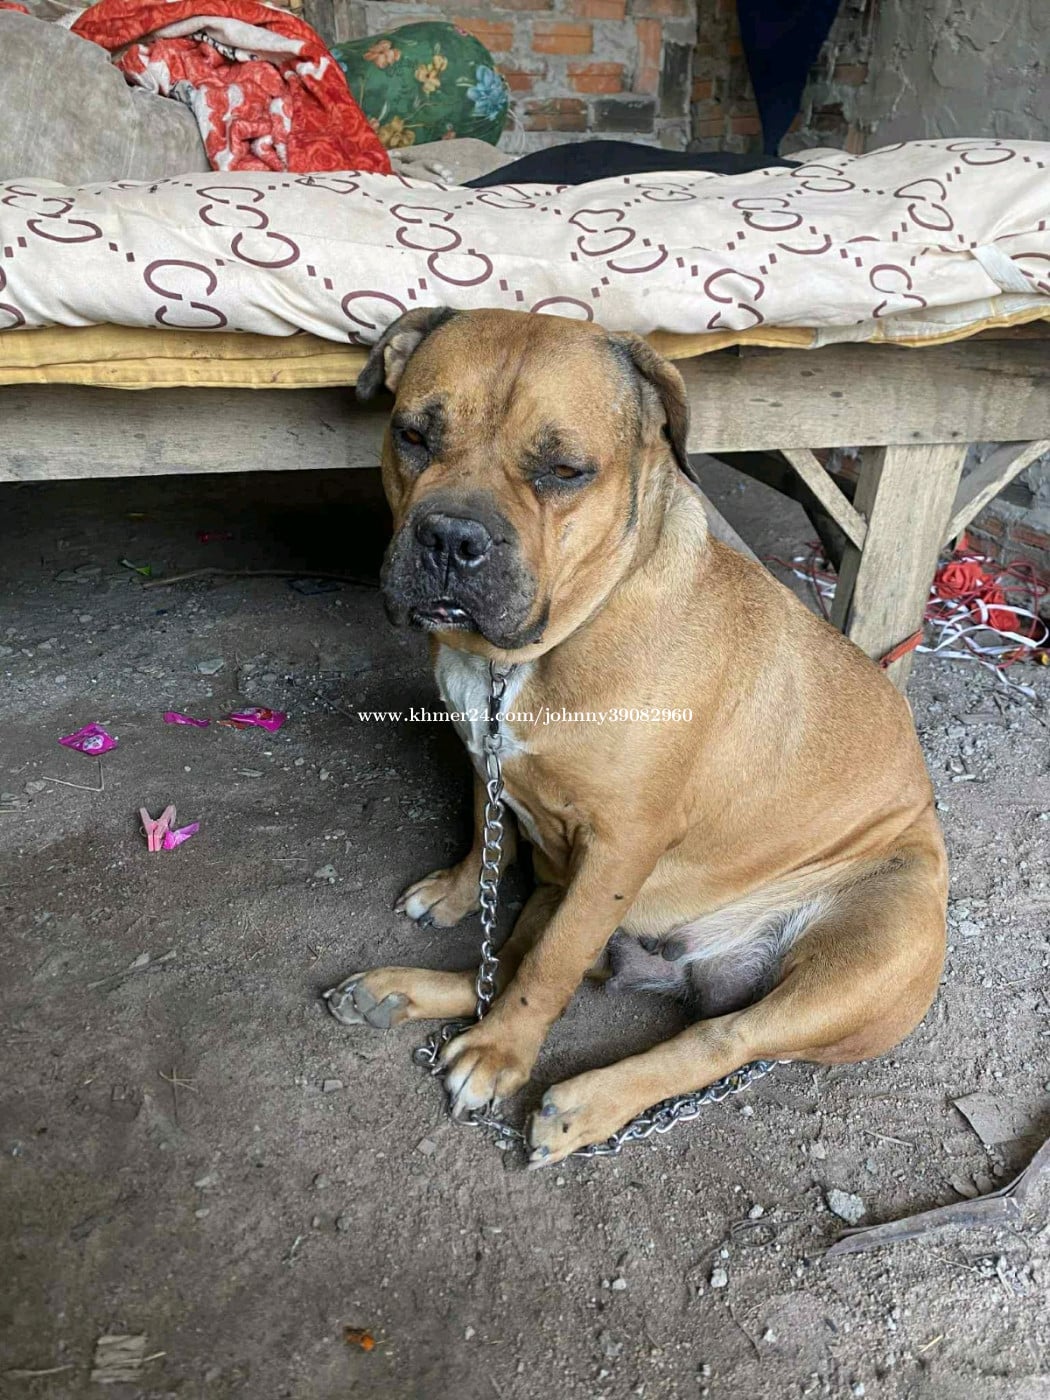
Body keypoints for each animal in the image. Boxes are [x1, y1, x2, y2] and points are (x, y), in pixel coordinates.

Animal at [326, 307, 948, 1167]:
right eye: (413, 435)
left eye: (564, 470)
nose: (451, 536)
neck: (529, 654)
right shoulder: (490, 766)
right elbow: (488, 843)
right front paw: (456, 895)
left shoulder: (619, 847)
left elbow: (549, 968)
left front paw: (500, 1054)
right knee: (514, 958)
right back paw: (397, 991)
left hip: (867, 947)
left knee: (716, 1035)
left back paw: (580, 1099)